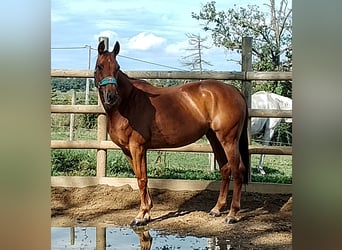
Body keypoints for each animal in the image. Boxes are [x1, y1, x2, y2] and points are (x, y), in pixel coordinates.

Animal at [95, 40, 250, 226]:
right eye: (100, 66)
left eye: (117, 68)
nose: (111, 96)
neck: (127, 103)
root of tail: (235, 91)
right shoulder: (128, 149)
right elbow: (142, 177)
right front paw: (147, 212)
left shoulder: (137, 147)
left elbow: (141, 179)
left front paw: (140, 216)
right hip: (214, 138)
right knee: (225, 169)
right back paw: (217, 209)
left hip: (229, 140)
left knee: (237, 170)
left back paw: (232, 214)